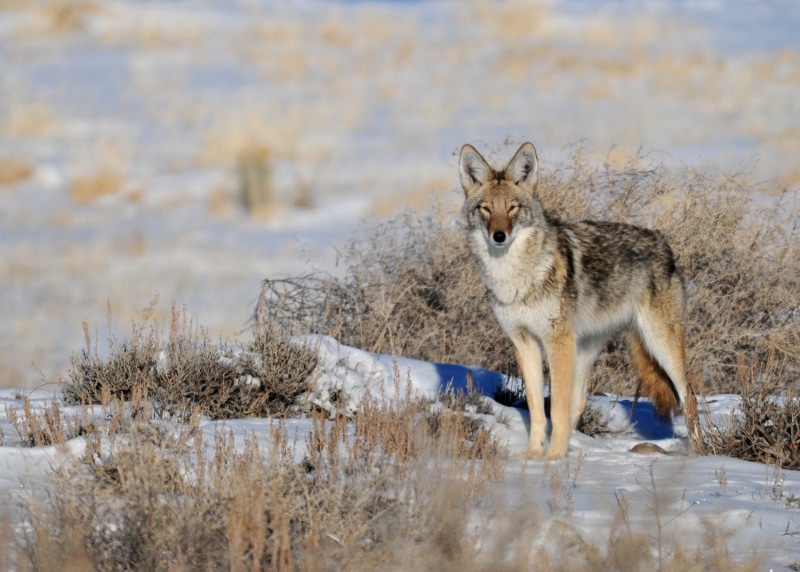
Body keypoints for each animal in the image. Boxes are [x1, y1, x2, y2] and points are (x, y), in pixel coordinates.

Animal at [459, 142, 688, 460]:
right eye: (486, 208)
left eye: (512, 207)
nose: (499, 235)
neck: (516, 278)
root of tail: (664, 243)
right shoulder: (524, 342)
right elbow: (537, 408)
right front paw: (533, 457)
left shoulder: (557, 342)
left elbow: (555, 407)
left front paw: (553, 460)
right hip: (585, 349)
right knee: (578, 403)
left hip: (660, 345)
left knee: (690, 397)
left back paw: (700, 450)